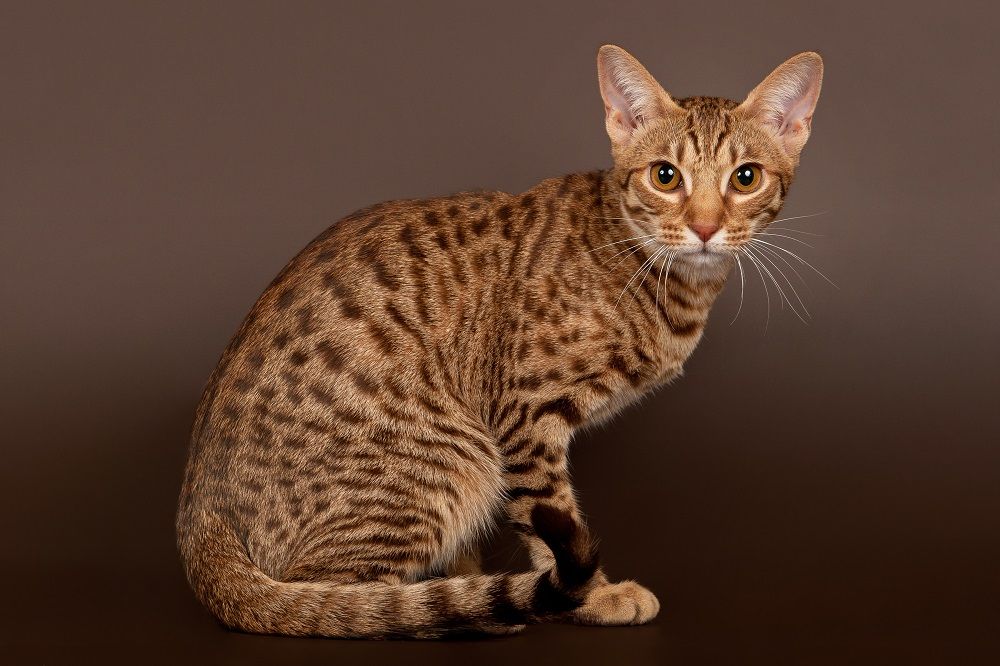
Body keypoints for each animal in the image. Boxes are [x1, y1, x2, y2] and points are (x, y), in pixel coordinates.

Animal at [178, 44, 820, 636]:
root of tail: (200, 527)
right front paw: (594, 597)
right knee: (337, 604)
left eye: (745, 178)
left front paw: (487, 577)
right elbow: (549, 514)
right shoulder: (524, 417)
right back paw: (455, 610)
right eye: (666, 176)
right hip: (453, 459)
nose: (705, 226)